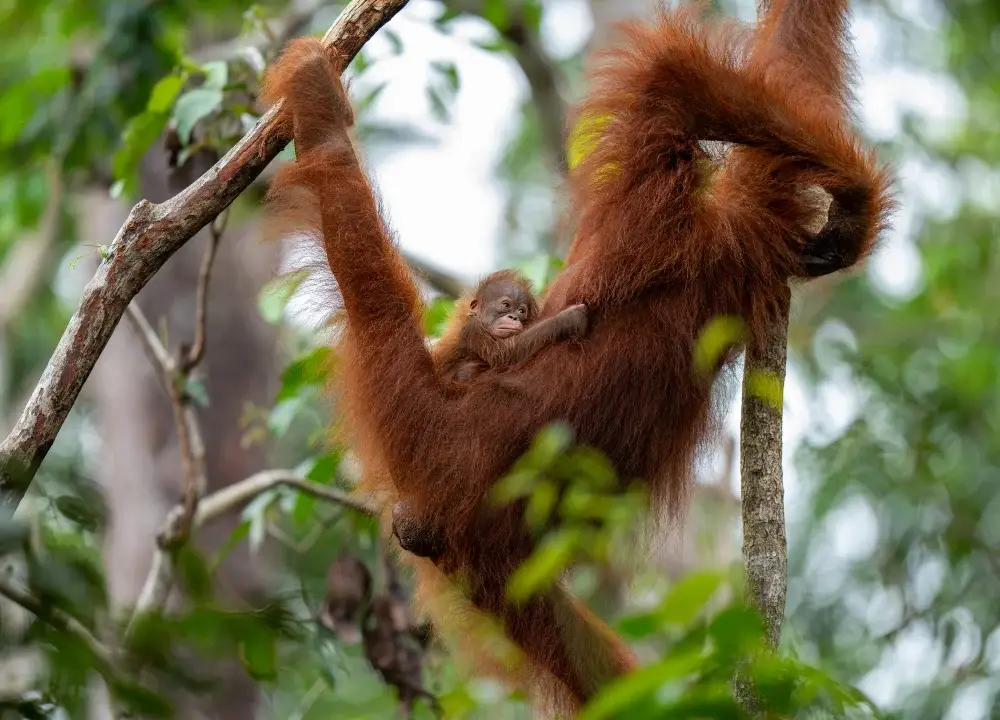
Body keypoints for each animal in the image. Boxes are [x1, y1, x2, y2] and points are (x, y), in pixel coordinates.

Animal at [260, 0, 894, 713]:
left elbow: (748, 73)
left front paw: (849, 200)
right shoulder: (667, 226)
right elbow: (688, 82)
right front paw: (852, 198)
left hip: (465, 517)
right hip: (442, 459)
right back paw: (323, 119)